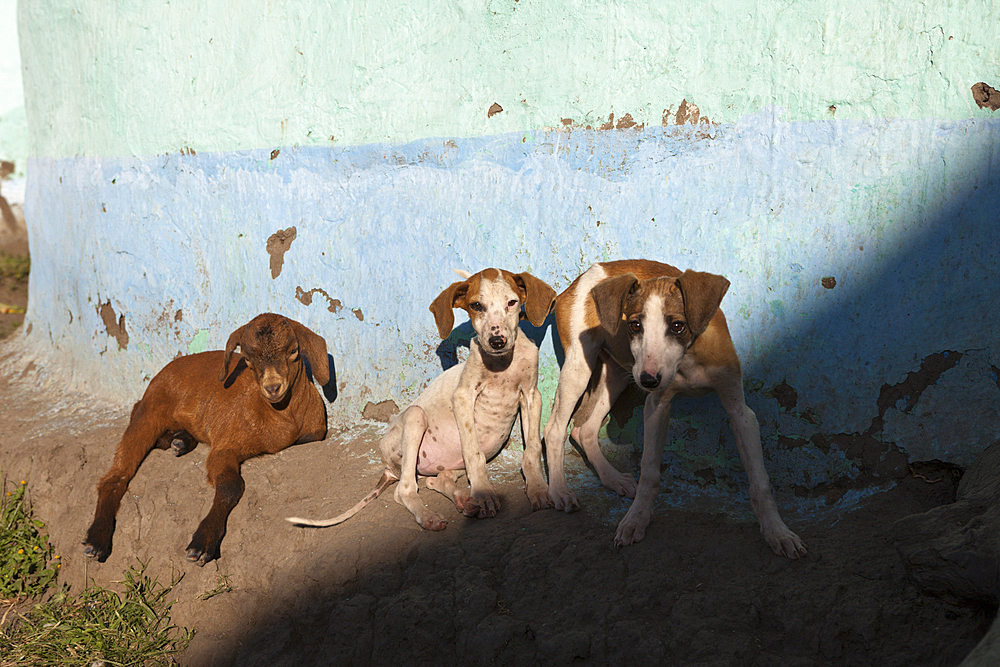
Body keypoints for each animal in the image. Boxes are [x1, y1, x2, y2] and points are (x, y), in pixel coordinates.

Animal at [288, 268, 556, 528]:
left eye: (512, 302)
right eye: (476, 306)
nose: (497, 341)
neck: (501, 365)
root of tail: (387, 468)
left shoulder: (532, 396)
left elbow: (532, 449)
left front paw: (538, 489)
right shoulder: (463, 397)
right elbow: (475, 454)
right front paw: (483, 493)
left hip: (450, 463)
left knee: (436, 480)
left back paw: (464, 501)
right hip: (415, 419)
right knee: (405, 489)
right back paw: (431, 516)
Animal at [540, 260, 804, 560]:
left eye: (678, 325)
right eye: (635, 325)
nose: (649, 381)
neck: (688, 358)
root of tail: (573, 285)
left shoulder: (740, 411)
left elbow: (760, 481)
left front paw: (778, 532)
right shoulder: (656, 406)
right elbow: (649, 472)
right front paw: (635, 520)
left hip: (618, 372)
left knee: (584, 429)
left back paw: (613, 479)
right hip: (581, 368)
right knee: (555, 429)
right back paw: (559, 491)